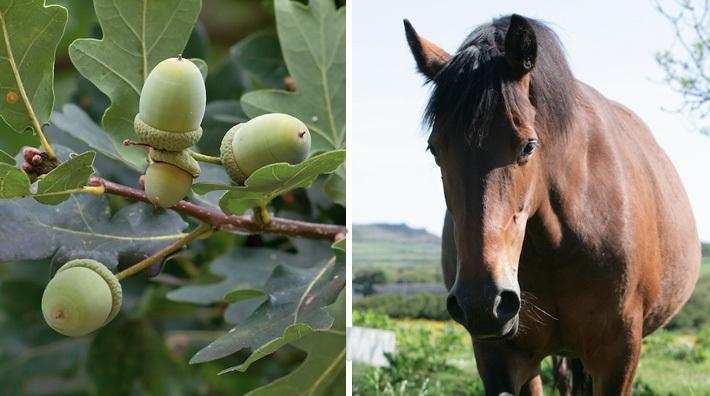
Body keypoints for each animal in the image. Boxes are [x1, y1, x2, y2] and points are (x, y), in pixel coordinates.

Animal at [406, 13, 700, 394]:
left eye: (528, 145)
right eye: (435, 149)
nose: (482, 301)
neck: (561, 240)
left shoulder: (619, 354)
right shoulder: (499, 355)